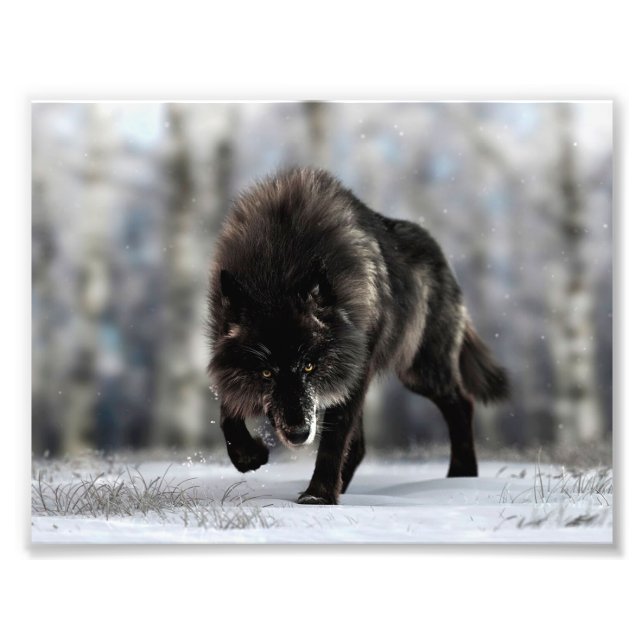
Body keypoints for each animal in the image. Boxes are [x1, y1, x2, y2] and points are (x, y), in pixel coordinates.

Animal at [207, 167, 508, 505]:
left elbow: (334, 439)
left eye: (309, 366)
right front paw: (249, 455)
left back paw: (461, 477)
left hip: (419, 371)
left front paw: (318, 497)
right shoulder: (226, 360)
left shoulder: (354, 371)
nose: (299, 435)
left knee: (462, 404)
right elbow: (228, 410)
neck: (280, 265)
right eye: (266, 373)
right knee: (363, 445)